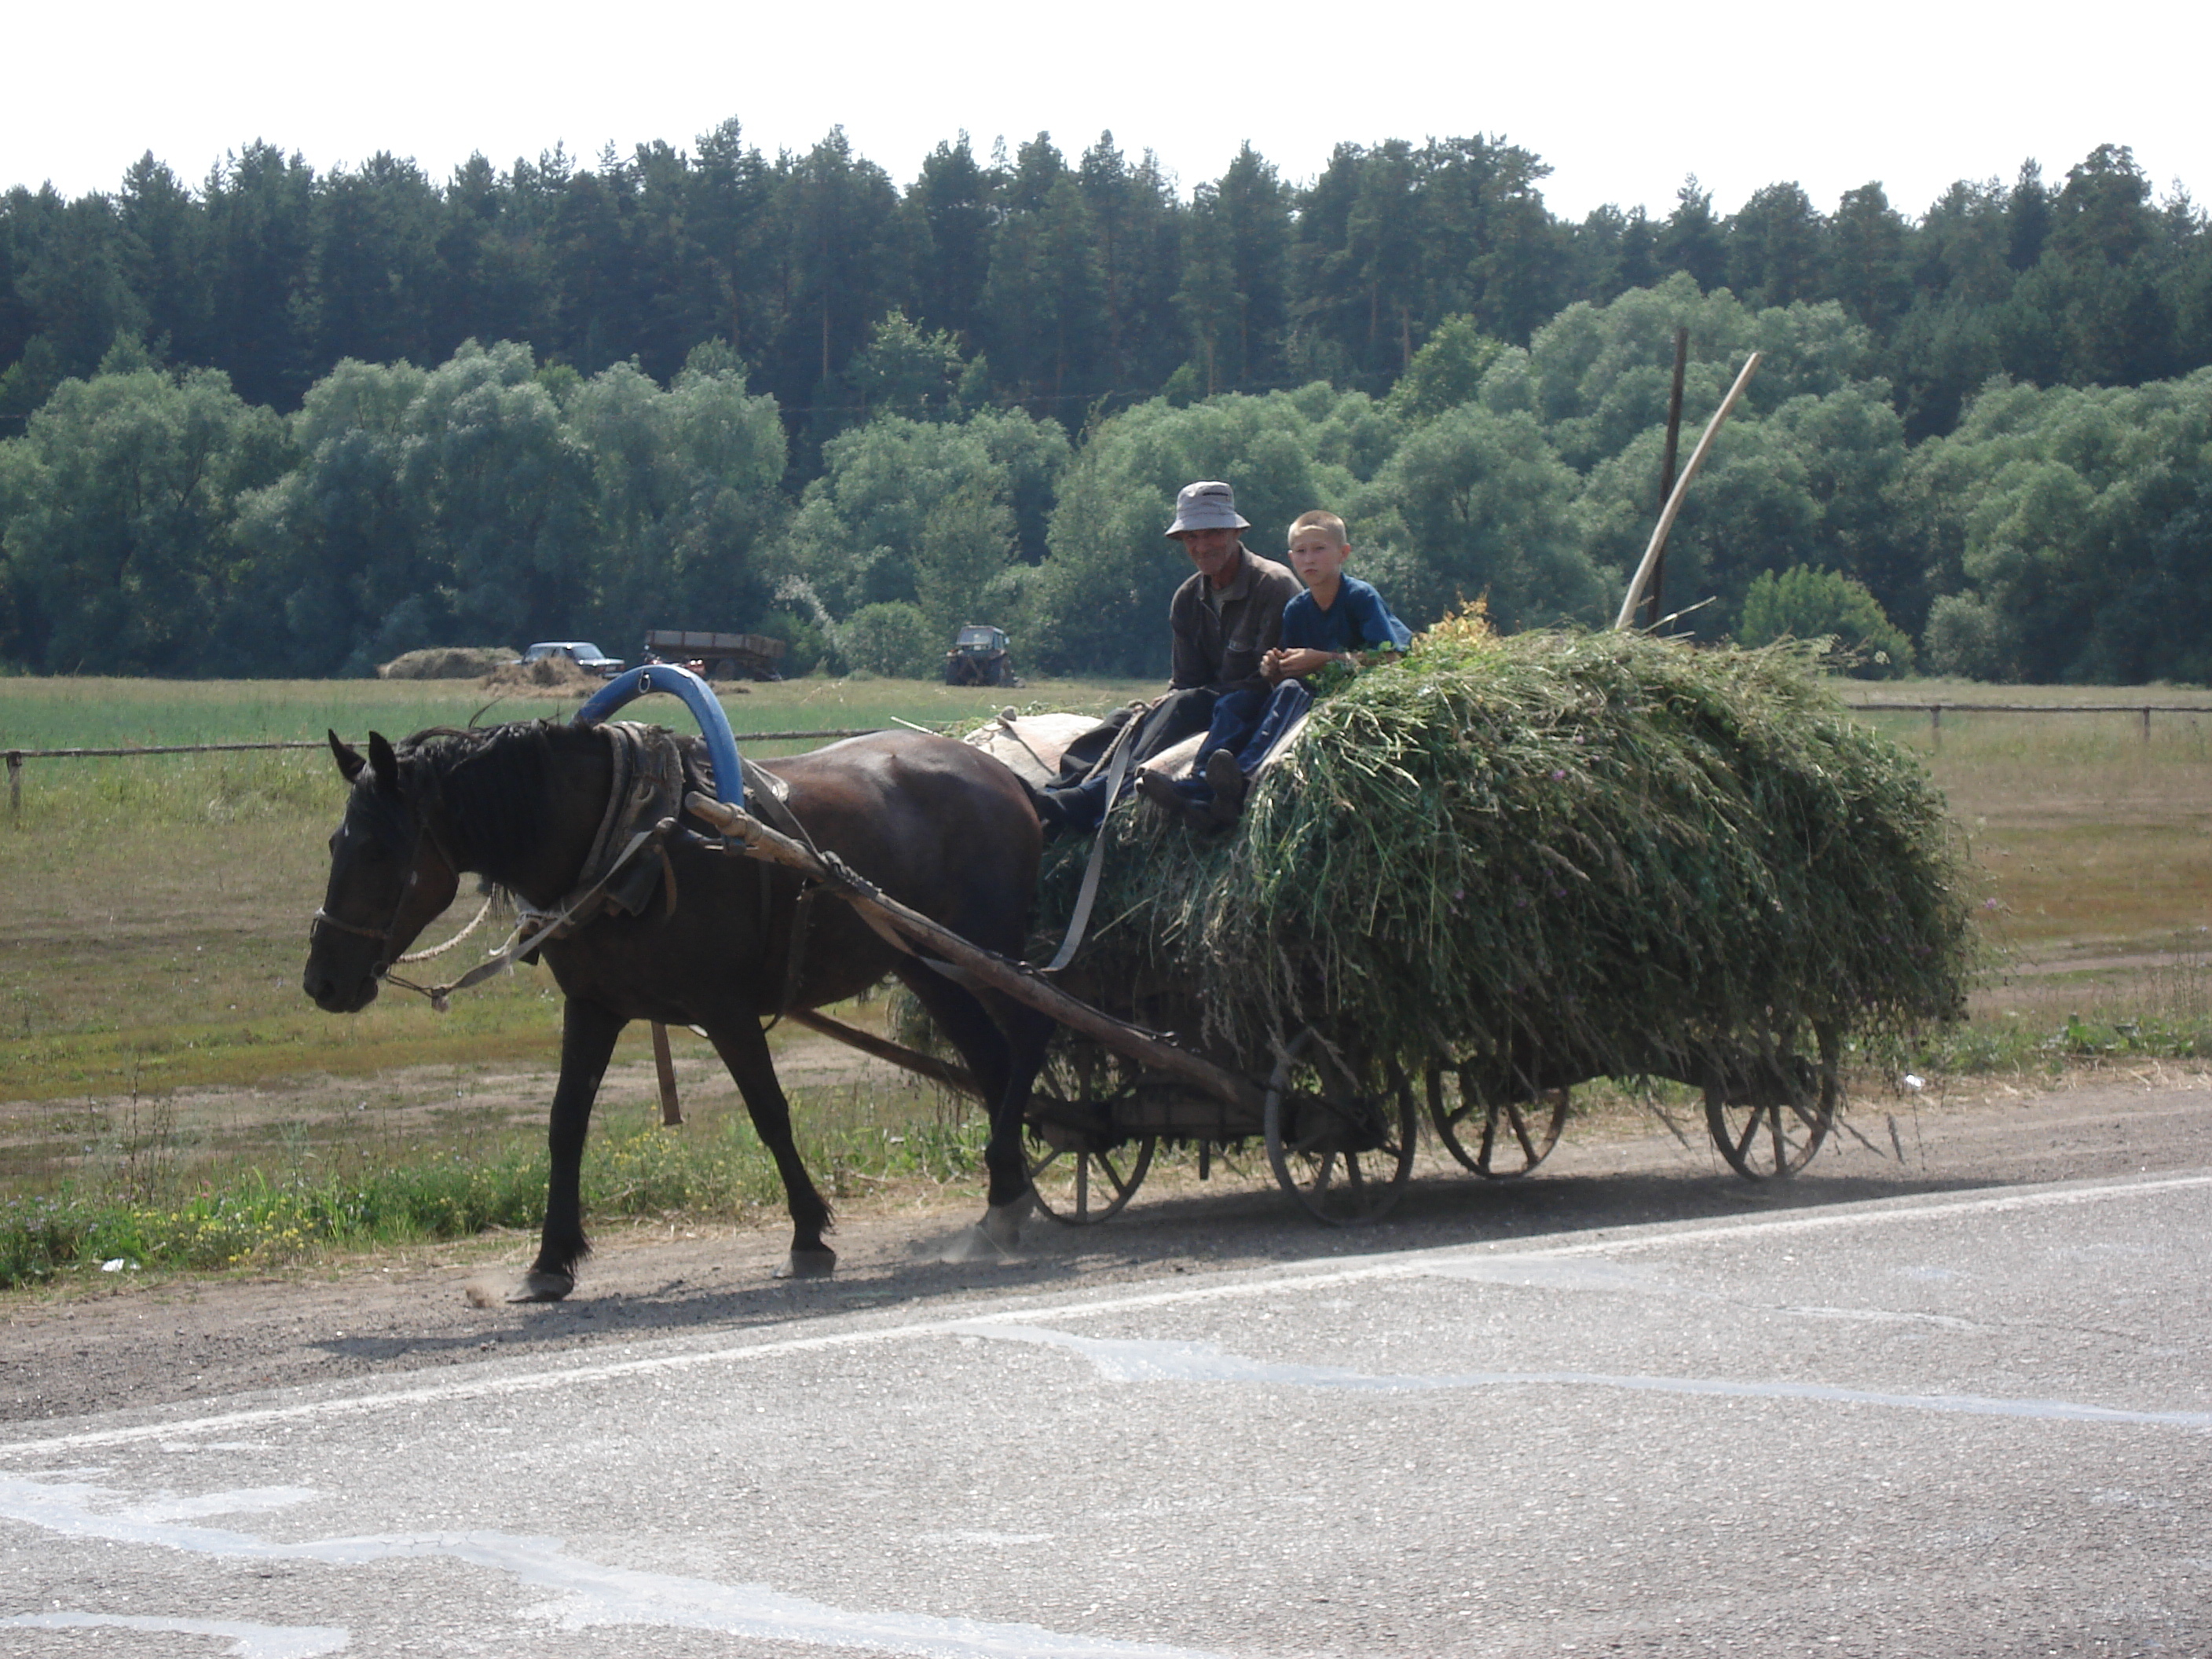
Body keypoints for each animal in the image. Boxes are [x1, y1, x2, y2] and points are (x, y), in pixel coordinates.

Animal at [302, 721, 1053, 1309]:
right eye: (334, 844)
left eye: (378, 848)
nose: (323, 982)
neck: (627, 838)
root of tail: (1005, 777)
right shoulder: (594, 1007)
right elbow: (565, 1125)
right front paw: (550, 1262)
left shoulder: (725, 1008)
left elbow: (769, 1113)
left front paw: (808, 1237)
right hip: (927, 964)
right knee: (991, 1061)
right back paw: (1004, 1200)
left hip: (986, 950)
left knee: (1028, 1041)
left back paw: (1006, 1189)